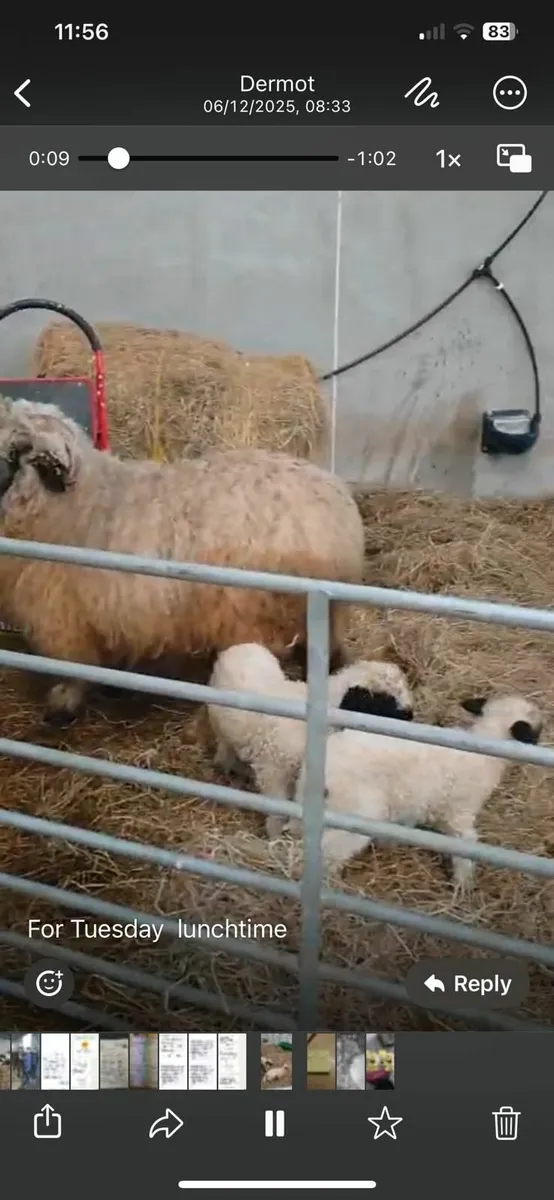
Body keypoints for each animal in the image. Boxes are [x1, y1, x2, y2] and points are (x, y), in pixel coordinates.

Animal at [0, 397, 365, 724]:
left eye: (17, 452)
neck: (78, 503)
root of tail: (339, 510)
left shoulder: (62, 619)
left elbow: (73, 669)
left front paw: (63, 705)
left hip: (266, 613)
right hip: (319, 612)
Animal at [208, 642, 414, 838]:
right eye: (384, 700)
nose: (411, 714)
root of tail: (238, 647)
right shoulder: (273, 770)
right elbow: (278, 806)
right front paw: (274, 835)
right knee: (224, 750)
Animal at [293, 694, 543, 891]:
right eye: (537, 730)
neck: (486, 750)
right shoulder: (460, 813)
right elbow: (465, 848)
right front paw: (463, 887)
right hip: (356, 815)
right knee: (329, 851)